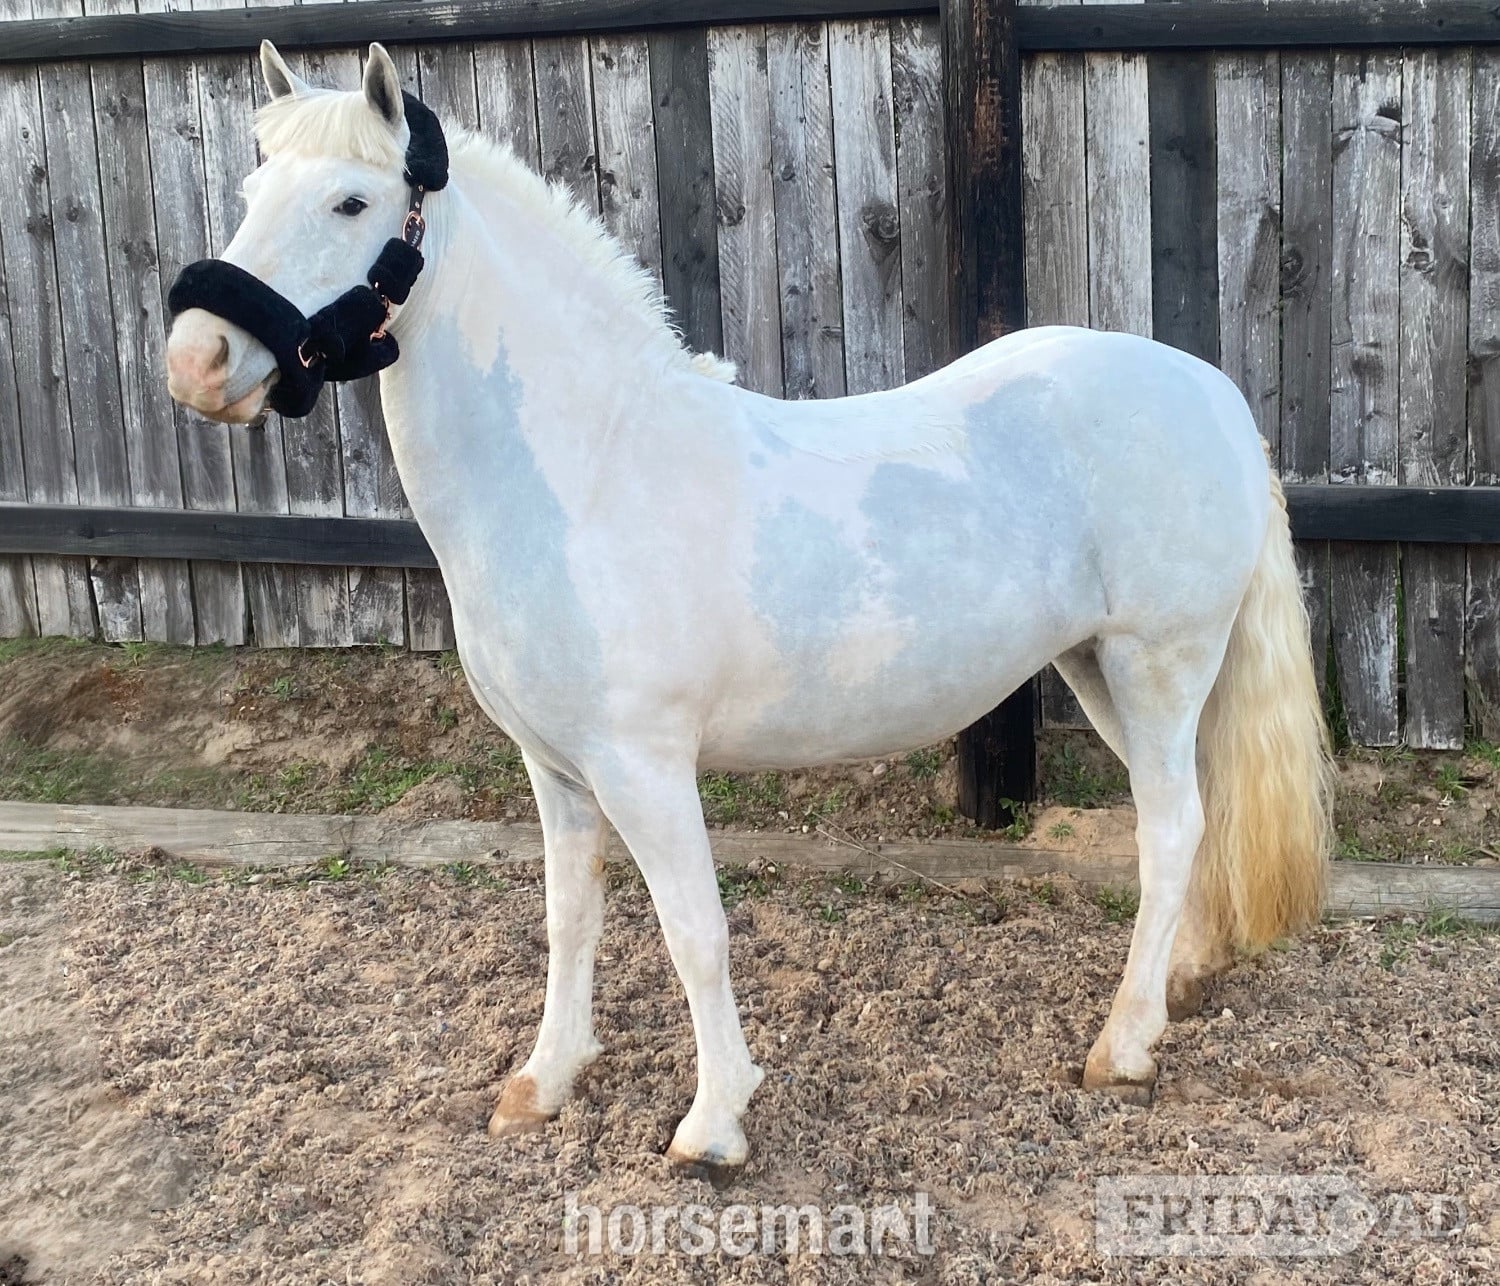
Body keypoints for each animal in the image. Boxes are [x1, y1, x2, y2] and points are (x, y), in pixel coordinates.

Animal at [165, 41, 1333, 1181]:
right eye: (253, 188)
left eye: (352, 202)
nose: (196, 362)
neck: (588, 470)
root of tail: (1214, 396)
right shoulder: (556, 767)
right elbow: (569, 918)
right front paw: (545, 1082)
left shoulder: (644, 765)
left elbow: (696, 932)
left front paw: (714, 1123)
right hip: (1098, 670)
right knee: (1188, 815)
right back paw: (1178, 982)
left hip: (1156, 663)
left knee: (1172, 827)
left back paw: (1122, 1045)